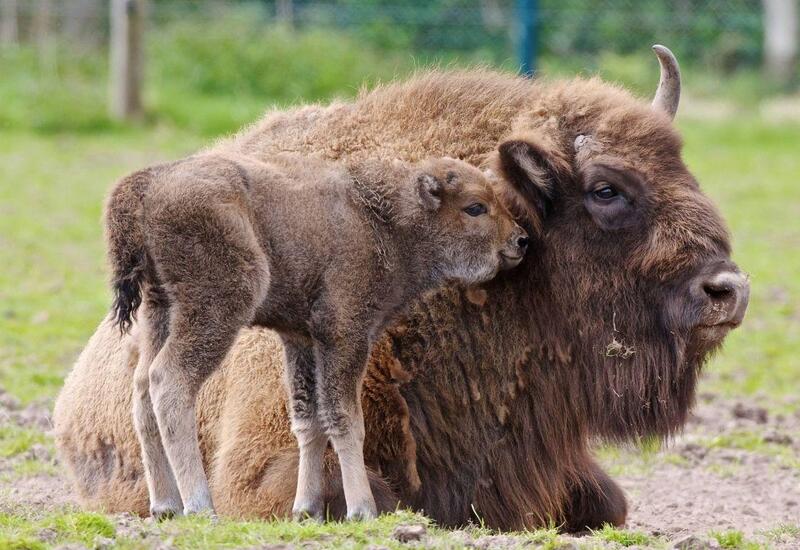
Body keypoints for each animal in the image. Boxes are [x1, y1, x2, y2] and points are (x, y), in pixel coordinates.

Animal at [108, 152, 532, 520]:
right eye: (475, 207)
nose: (520, 240)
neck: (384, 221)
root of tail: (149, 184)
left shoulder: (301, 340)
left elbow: (308, 420)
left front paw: (306, 509)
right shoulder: (345, 335)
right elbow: (345, 419)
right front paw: (362, 509)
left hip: (160, 310)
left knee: (142, 390)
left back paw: (165, 505)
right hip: (216, 309)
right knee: (169, 382)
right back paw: (199, 505)